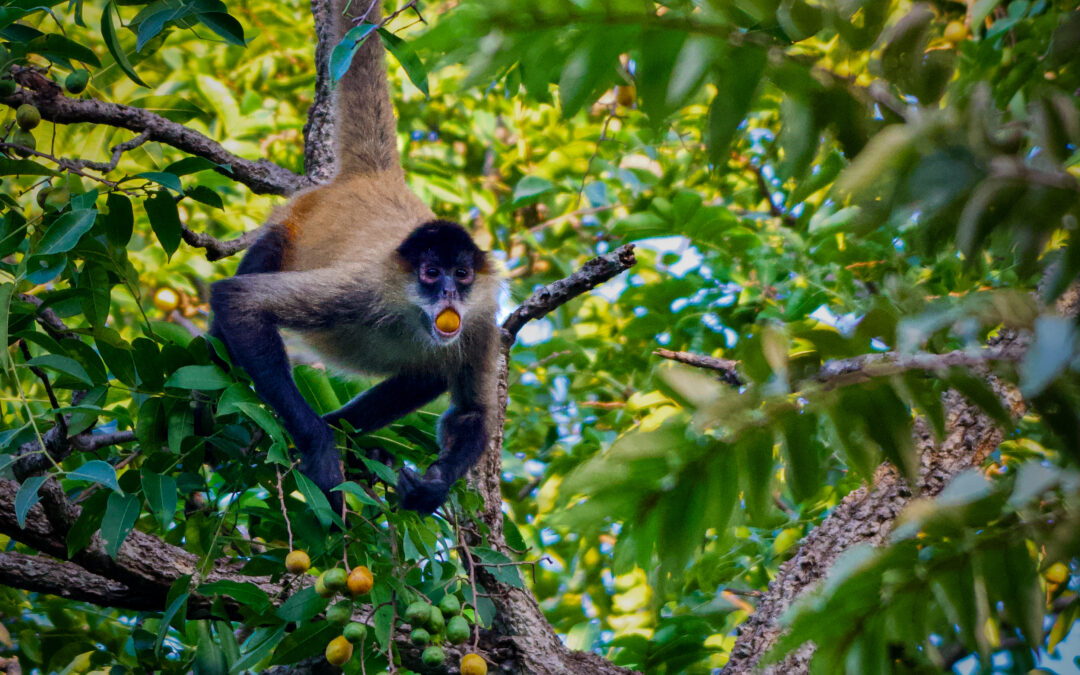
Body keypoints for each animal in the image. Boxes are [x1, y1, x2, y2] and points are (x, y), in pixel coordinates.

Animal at [208, 0, 498, 514]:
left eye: (462, 274)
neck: (412, 316)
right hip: (290, 226)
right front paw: (321, 448)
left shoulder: (482, 320)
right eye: (430, 273)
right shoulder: (363, 288)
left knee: (428, 374)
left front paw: (433, 486)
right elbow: (237, 302)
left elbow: (470, 413)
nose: (448, 290)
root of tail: (374, 179)